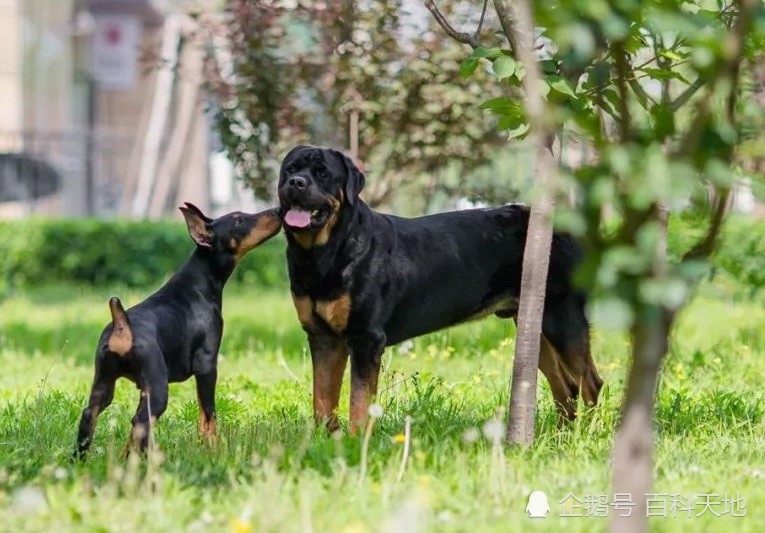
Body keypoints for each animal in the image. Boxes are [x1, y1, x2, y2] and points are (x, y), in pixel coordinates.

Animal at [72, 204, 278, 458]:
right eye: (239, 220)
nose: (279, 211)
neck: (199, 282)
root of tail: (122, 325)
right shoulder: (207, 364)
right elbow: (209, 415)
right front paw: (213, 450)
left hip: (104, 382)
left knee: (91, 414)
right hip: (158, 389)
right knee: (139, 422)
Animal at [278, 144, 600, 432]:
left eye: (322, 173)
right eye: (290, 169)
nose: (296, 182)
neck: (323, 253)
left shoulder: (365, 338)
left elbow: (359, 401)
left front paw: (357, 443)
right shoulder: (323, 337)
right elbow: (322, 398)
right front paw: (327, 440)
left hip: (563, 317)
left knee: (589, 383)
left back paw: (586, 436)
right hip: (533, 324)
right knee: (565, 387)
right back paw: (560, 436)